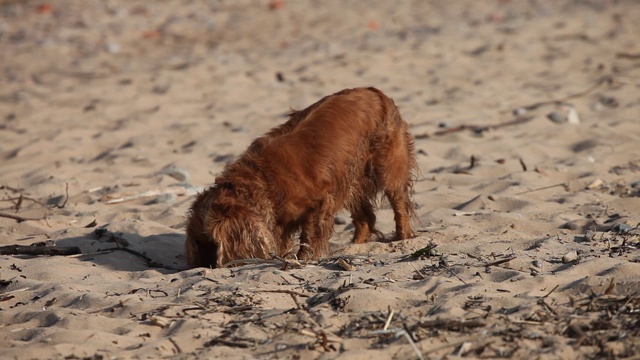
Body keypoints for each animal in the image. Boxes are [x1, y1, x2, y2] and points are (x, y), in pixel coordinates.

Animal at [185, 87, 418, 268]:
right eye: (198, 243)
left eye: (212, 244)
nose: (204, 265)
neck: (262, 180)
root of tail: (374, 91)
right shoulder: (281, 219)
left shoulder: (320, 205)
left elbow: (309, 236)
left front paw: (305, 258)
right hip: (351, 181)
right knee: (366, 218)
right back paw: (355, 245)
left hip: (389, 167)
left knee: (399, 204)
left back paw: (403, 237)